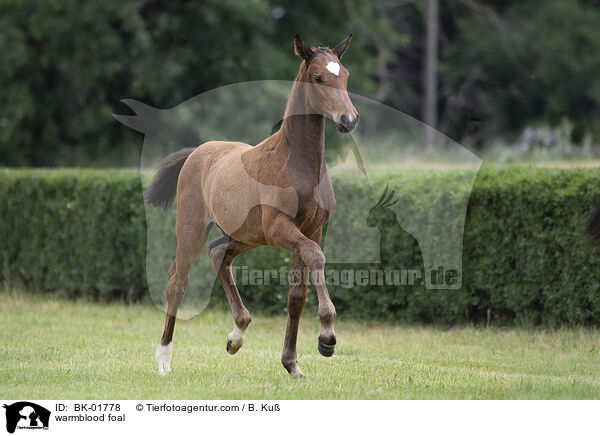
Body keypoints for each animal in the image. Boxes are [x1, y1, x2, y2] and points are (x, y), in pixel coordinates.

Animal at [146, 34, 358, 376]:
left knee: (218, 253)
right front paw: (327, 336)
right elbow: (316, 256)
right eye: (317, 77)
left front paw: (292, 363)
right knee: (177, 281)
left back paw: (237, 335)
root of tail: (198, 152)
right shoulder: (280, 228)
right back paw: (164, 358)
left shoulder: (311, 229)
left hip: (247, 234)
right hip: (192, 229)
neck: (298, 166)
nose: (348, 120)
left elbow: (296, 296)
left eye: (346, 76)